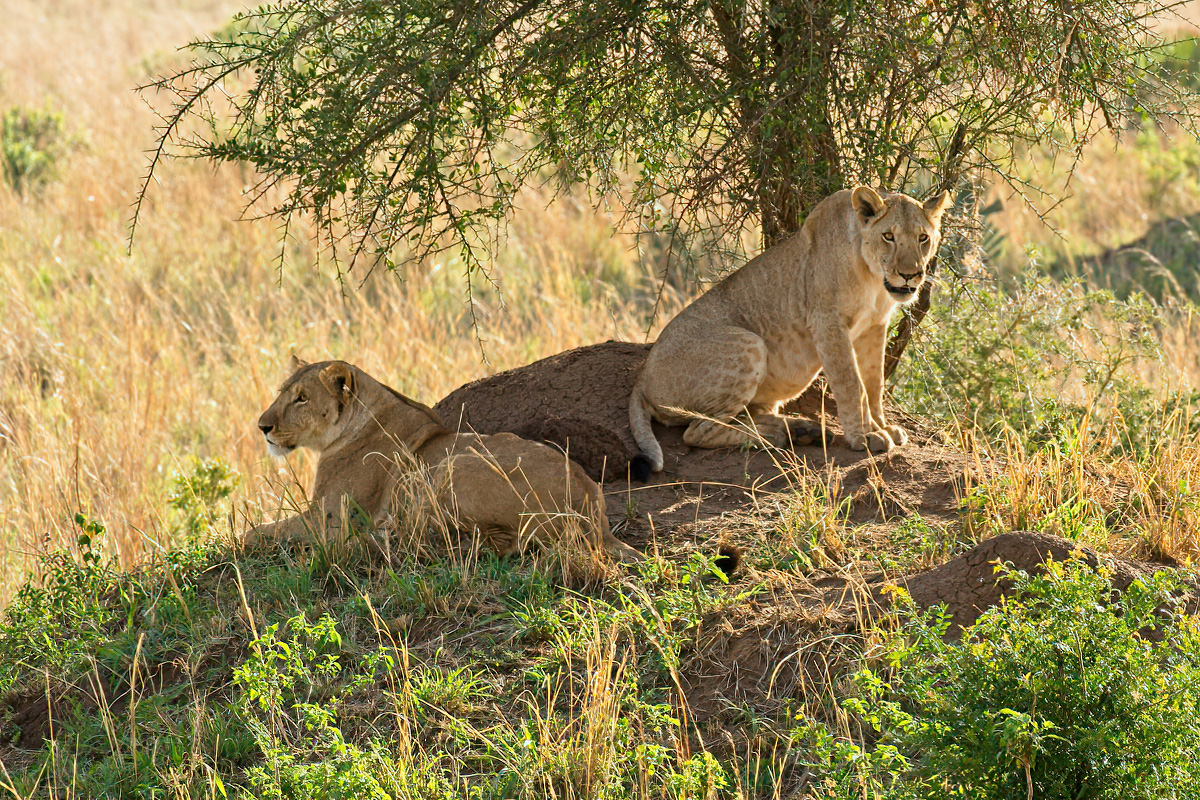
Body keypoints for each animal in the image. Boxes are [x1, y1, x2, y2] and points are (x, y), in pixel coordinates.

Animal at [246, 357, 648, 563]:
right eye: (283, 392)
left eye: (302, 398)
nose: (262, 426)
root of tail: (592, 513)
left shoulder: (329, 519)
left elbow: (258, 532)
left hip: (454, 466)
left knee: (492, 544)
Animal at [633, 185, 950, 474]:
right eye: (888, 236)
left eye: (923, 238)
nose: (910, 275)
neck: (873, 278)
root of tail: (642, 380)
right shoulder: (827, 323)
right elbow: (851, 383)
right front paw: (865, 435)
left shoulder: (874, 325)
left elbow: (874, 383)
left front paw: (882, 426)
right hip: (748, 343)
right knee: (697, 431)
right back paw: (774, 436)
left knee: (743, 415)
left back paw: (800, 430)